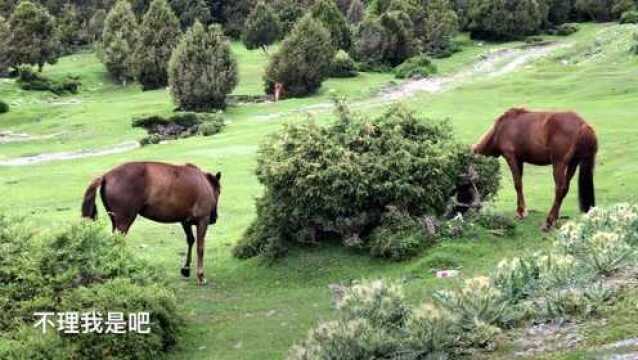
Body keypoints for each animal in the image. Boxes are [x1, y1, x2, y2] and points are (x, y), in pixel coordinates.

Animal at [80, 162, 222, 286]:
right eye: (219, 191)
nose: (214, 218)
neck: (203, 182)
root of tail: (106, 176)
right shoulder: (202, 220)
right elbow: (200, 248)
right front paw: (200, 275)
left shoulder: (184, 221)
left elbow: (191, 241)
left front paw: (186, 269)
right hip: (124, 223)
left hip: (115, 222)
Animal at [470, 107, 600, 231]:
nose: (474, 207)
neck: (500, 129)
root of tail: (583, 125)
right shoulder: (520, 160)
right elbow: (520, 184)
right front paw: (522, 210)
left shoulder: (511, 157)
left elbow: (517, 184)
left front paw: (520, 212)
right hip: (573, 163)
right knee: (565, 189)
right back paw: (555, 219)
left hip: (559, 163)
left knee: (560, 189)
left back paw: (549, 221)